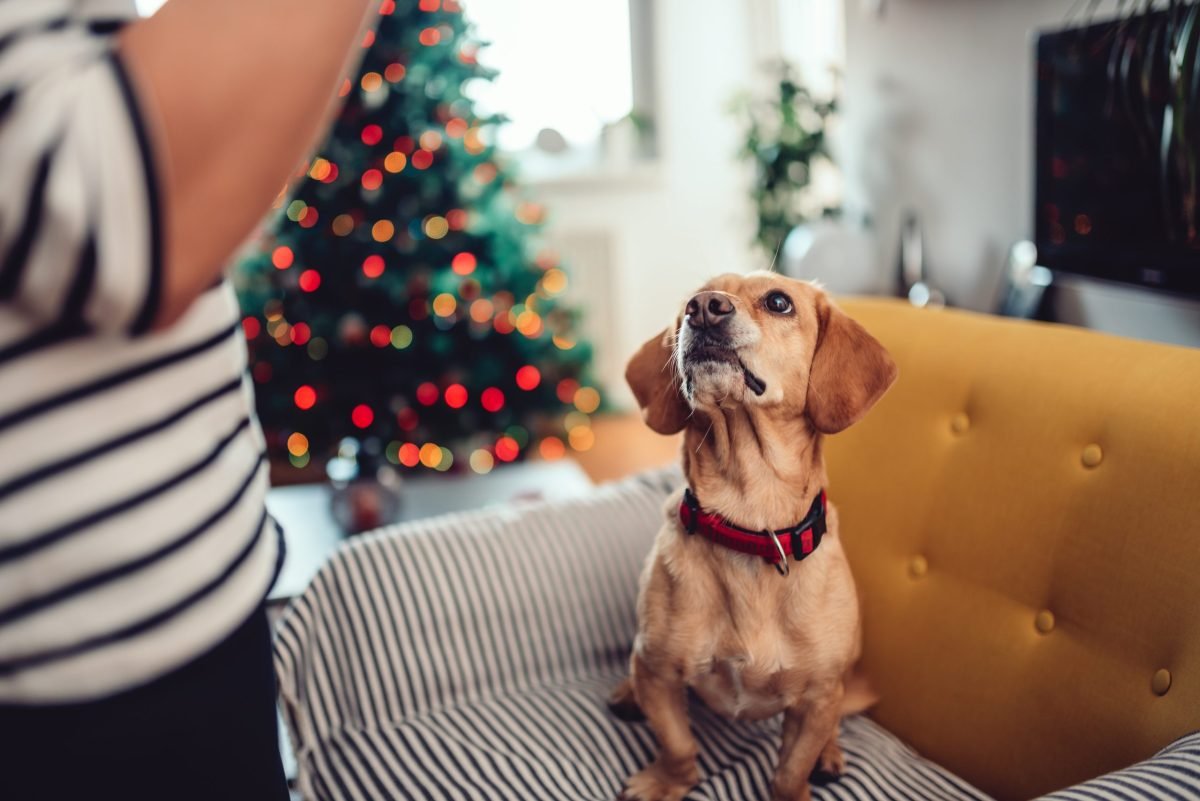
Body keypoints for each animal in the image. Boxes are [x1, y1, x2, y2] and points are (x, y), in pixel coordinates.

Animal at [614, 272, 897, 796]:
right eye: (691, 298)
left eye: (779, 302)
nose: (703, 307)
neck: (750, 523)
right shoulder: (659, 673)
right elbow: (679, 745)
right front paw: (666, 782)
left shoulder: (817, 699)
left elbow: (790, 772)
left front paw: (799, 782)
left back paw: (830, 755)